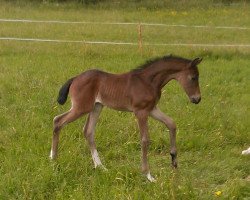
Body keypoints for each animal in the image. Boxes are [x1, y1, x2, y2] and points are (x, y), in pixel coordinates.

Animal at [49, 55, 202, 182]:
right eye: (193, 77)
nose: (197, 99)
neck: (148, 81)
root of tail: (75, 78)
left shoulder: (152, 109)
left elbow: (171, 123)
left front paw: (174, 160)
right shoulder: (140, 111)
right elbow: (145, 139)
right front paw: (148, 175)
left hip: (96, 107)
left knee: (88, 131)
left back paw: (100, 166)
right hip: (81, 107)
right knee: (58, 120)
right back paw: (53, 158)